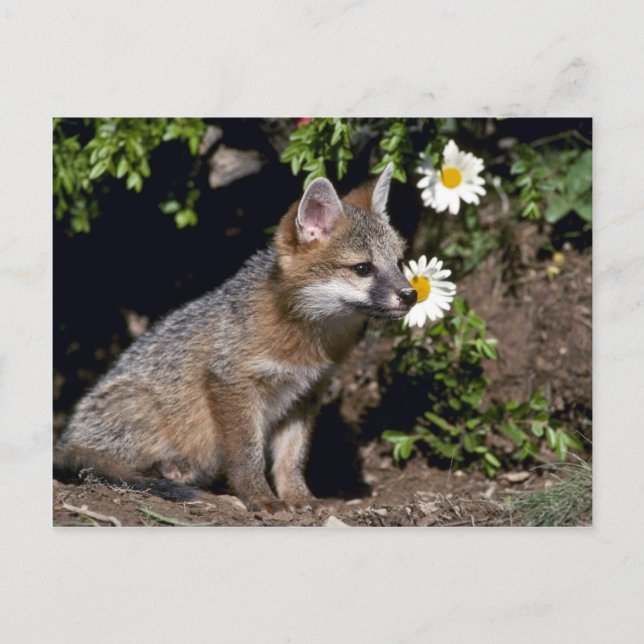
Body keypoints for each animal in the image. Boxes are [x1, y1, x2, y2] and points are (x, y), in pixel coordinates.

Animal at [54, 163, 418, 513]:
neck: (307, 343)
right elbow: (247, 454)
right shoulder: (231, 382)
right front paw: (261, 498)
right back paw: (171, 470)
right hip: (144, 409)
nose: (411, 295)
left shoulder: (305, 394)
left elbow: (291, 458)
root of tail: (69, 438)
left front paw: (298, 497)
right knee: (106, 465)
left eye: (398, 263)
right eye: (363, 268)